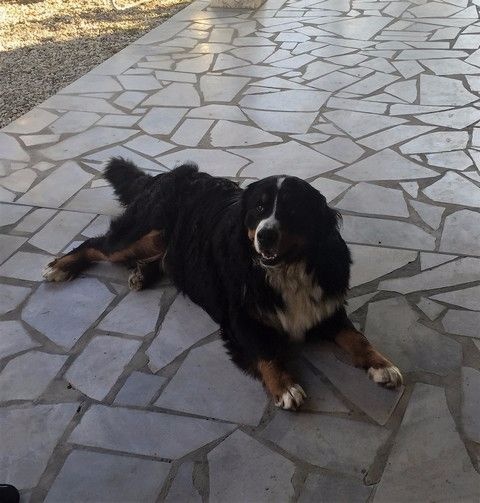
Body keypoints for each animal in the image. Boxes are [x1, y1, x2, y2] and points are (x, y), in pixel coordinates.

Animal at [43, 158, 403, 410]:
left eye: (292, 210)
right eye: (259, 208)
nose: (265, 235)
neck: (284, 271)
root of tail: (170, 173)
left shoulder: (326, 306)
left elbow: (357, 338)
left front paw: (381, 364)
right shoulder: (241, 319)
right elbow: (266, 351)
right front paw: (285, 386)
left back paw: (142, 273)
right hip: (141, 233)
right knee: (95, 244)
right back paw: (60, 267)